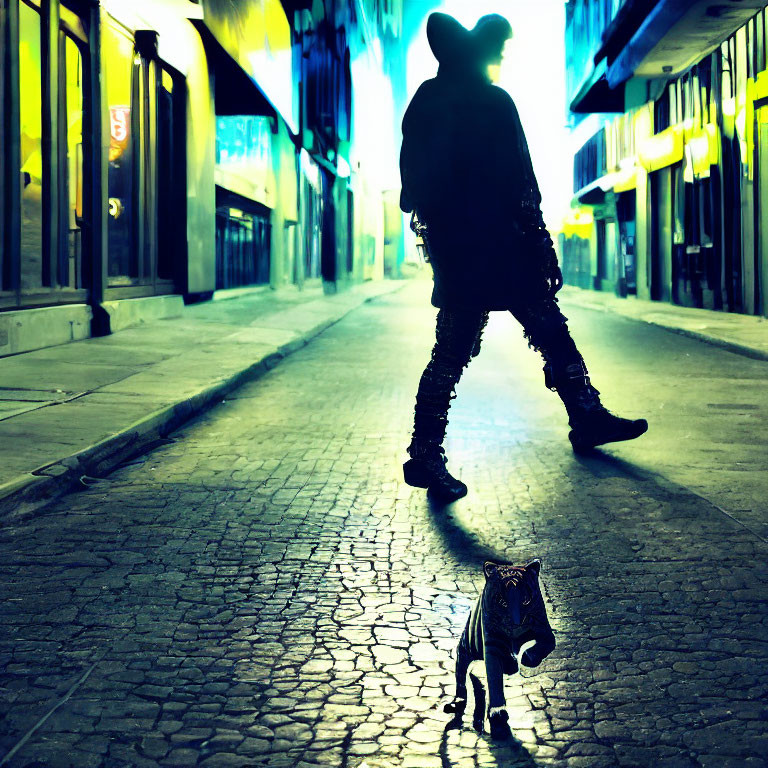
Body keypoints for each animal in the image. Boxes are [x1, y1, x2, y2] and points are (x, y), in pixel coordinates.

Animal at [440, 560, 556, 736]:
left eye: (525, 601)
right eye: (503, 602)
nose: (515, 623)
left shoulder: (545, 632)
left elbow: (542, 648)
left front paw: (525, 658)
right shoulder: (491, 646)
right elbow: (494, 680)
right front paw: (498, 715)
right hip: (465, 649)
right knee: (461, 679)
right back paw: (457, 702)